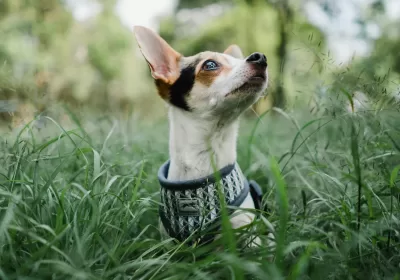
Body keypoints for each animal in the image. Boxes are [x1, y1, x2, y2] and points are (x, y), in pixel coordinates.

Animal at [134, 25, 268, 247]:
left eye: (237, 60)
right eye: (210, 64)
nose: (260, 57)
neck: (204, 156)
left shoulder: (247, 233)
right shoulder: (170, 243)